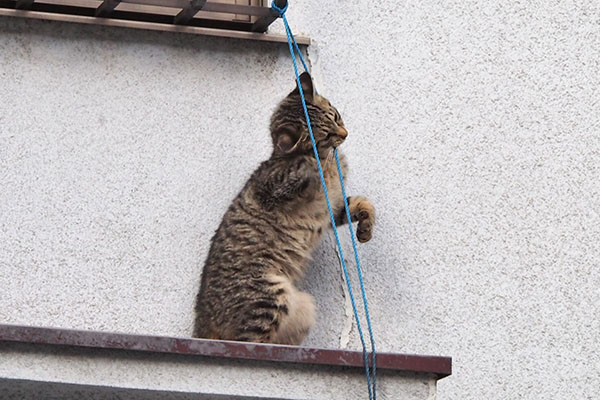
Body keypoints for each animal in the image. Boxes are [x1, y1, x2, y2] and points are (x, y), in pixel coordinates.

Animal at [195, 72, 376, 344]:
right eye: (326, 136)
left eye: (335, 116)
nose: (345, 133)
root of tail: (201, 318)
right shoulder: (271, 186)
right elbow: (298, 167)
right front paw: (310, 163)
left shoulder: (332, 211)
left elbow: (363, 203)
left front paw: (365, 229)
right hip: (270, 296)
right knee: (247, 342)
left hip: (301, 308)